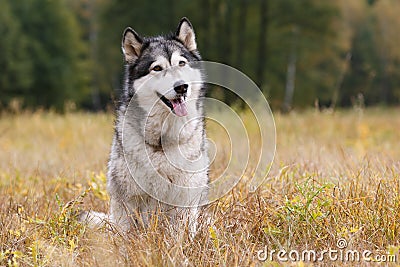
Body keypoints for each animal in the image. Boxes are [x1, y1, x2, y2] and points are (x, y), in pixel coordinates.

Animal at [83, 17, 211, 238]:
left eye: (181, 63)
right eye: (157, 68)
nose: (181, 87)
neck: (163, 141)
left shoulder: (185, 198)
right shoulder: (127, 198)